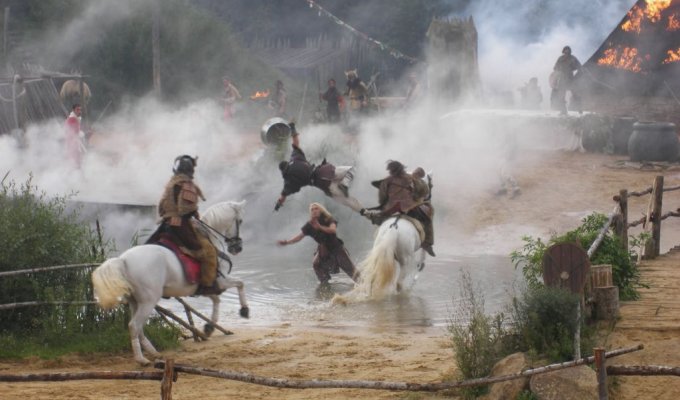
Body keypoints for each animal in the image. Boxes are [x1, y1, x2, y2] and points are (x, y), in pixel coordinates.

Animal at [91, 200, 248, 366]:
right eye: (240, 221)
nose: (237, 248)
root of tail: (123, 260)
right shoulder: (221, 281)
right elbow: (240, 284)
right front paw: (244, 310)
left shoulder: (205, 288)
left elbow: (216, 300)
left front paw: (209, 327)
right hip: (148, 301)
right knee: (134, 326)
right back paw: (142, 359)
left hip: (135, 302)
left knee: (138, 327)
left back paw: (153, 352)